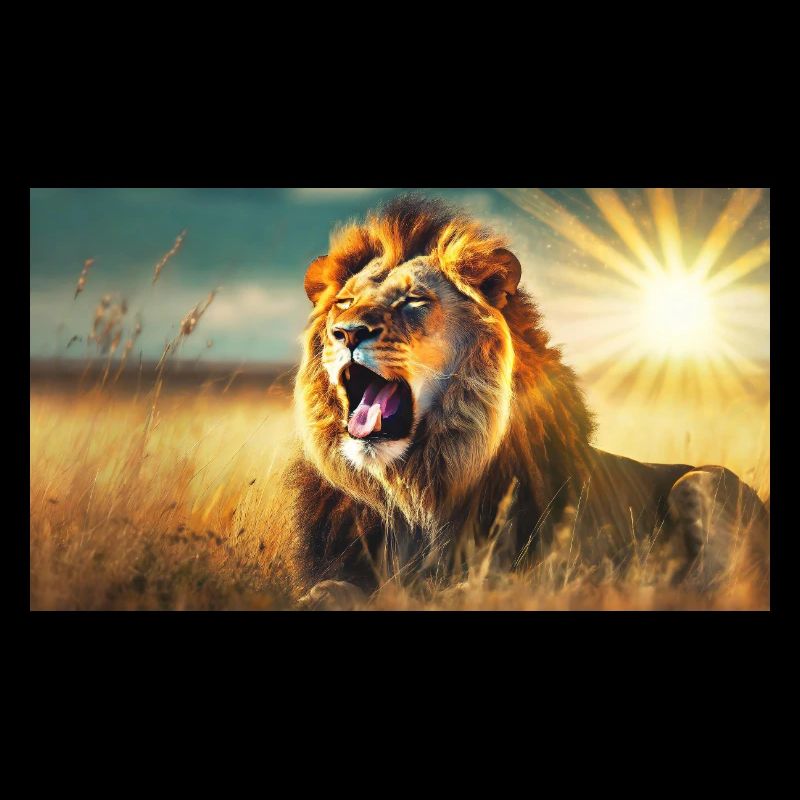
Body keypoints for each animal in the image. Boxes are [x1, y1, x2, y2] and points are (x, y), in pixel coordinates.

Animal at [287, 196, 769, 608]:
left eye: (413, 301)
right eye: (344, 302)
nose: (348, 332)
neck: (416, 488)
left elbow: (464, 591)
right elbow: (326, 589)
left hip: (701, 481)